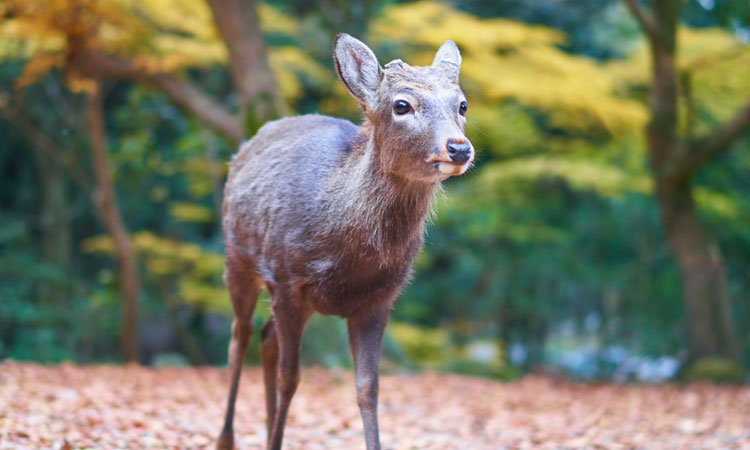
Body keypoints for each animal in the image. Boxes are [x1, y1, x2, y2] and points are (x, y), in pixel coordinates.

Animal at [217, 32, 476, 450]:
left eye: (462, 104)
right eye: (401, 105)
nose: (459, 147)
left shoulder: (379, 299)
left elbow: (368, 388)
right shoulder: (287, 280)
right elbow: (291, 378)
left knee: (266, 337)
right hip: (237, 255)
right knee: (239, 336)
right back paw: (227, 438)